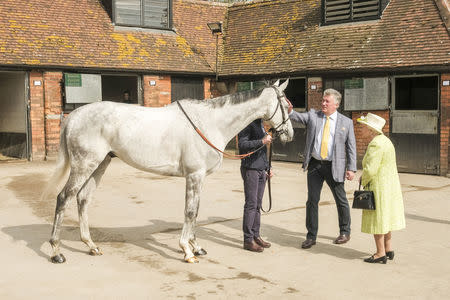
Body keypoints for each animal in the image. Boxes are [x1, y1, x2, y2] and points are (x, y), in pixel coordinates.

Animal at [42, 79, 294, 262]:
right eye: (286, 105)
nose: (290, 134)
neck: (209, 122)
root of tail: (74, 116)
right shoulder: (194, 175)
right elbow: (190, 212)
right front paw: (187, 251)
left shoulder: (198, 177)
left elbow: (196, 211)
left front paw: (197, 247)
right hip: (84, 165)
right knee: (64, 198)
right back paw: (56, 252)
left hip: (100, 164)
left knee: (83, 199)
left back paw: (91, 246)